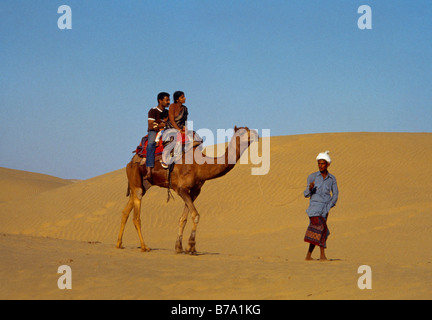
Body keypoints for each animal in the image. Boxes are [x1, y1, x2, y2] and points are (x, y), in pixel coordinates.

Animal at [115, 126, 258, 254]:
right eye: (242, 132)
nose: (256, 134)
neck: (200, 166)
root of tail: (131, 161)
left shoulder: (195, 191)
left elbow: (183, 218)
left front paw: (179, 247)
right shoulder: (181, 188)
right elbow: (195, 215)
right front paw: (191, 247)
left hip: (144, 183)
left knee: (126, 210)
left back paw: (119, 244)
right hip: (135, 176)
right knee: (136, 214)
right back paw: (144, 247)